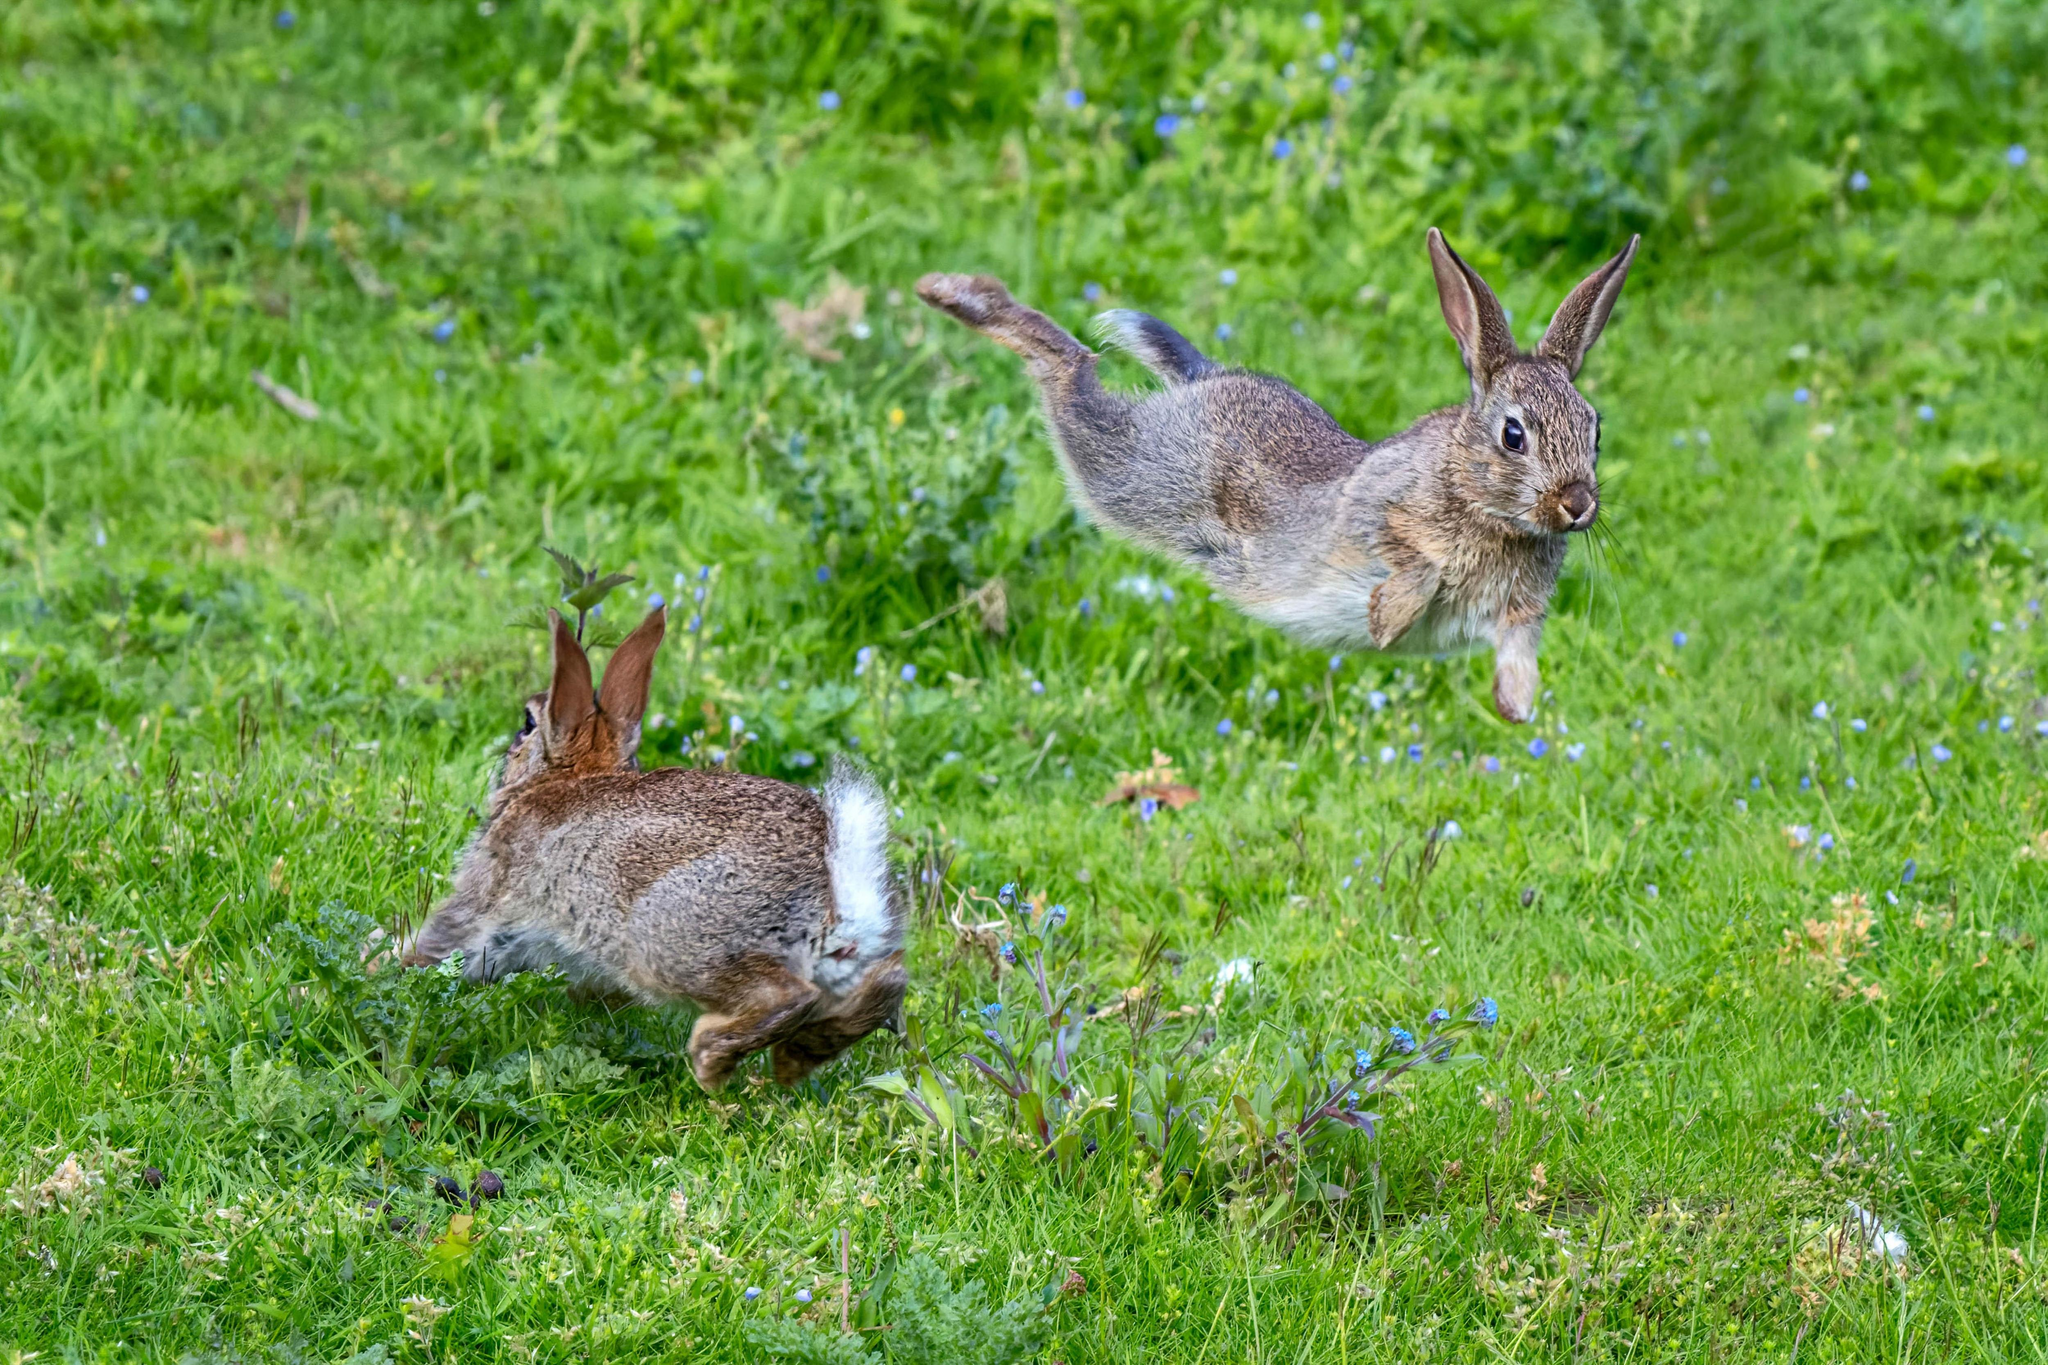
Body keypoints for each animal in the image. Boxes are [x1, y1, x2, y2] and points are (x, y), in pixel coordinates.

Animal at [403, 605, 901, 1088]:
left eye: (528, 723)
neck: (569, 777)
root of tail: (831, 876)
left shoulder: (486, 896)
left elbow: (441, 941)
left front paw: (392, 967)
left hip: (669, 939)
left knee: (788, 996)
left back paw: (712, 1059)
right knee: (884, 984)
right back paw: (796, 1060)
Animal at [921, 228, 1638, 720]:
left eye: (1595, 428)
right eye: (1514, 435)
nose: (1577, 504)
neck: (1476, 495)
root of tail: (1203, 378)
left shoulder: (1521, 614)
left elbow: (1517, 646)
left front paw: (1517, 707)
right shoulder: (1373, 514)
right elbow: (1412, 560)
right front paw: (1387, 621)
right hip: (1138, 474)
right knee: (1071, 375)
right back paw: (958, 295)